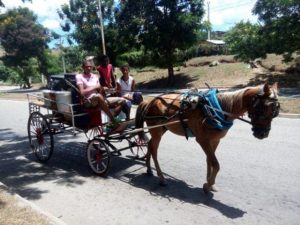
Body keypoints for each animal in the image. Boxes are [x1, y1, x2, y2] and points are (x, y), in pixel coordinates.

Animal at [135, 83, 280, 193]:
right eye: (263, 108)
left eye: (275, 112)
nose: (263, 134)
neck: (216, 108)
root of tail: (149, 101)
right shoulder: (202, 140)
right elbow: (216, 164)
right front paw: (208, 185)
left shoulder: (215, 140)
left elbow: (209, 160)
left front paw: (210, 183)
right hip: (157, 130)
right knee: (154, 150)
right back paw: (161, 178)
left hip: (161, 129)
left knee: (150, 145)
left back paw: (149, 169)